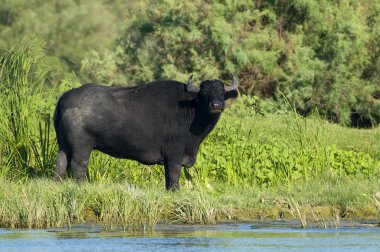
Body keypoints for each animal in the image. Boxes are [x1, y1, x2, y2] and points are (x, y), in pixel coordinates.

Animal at [53, 76, 238, 190]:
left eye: (222, 92)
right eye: (204, 93)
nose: (215, 105)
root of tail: (66, 96)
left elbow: (168, 176)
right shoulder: (175, 152)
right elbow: (174, 173)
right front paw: (176, 191)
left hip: (63, 144)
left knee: (61, 163)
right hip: (82, 145)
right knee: (78, 165)